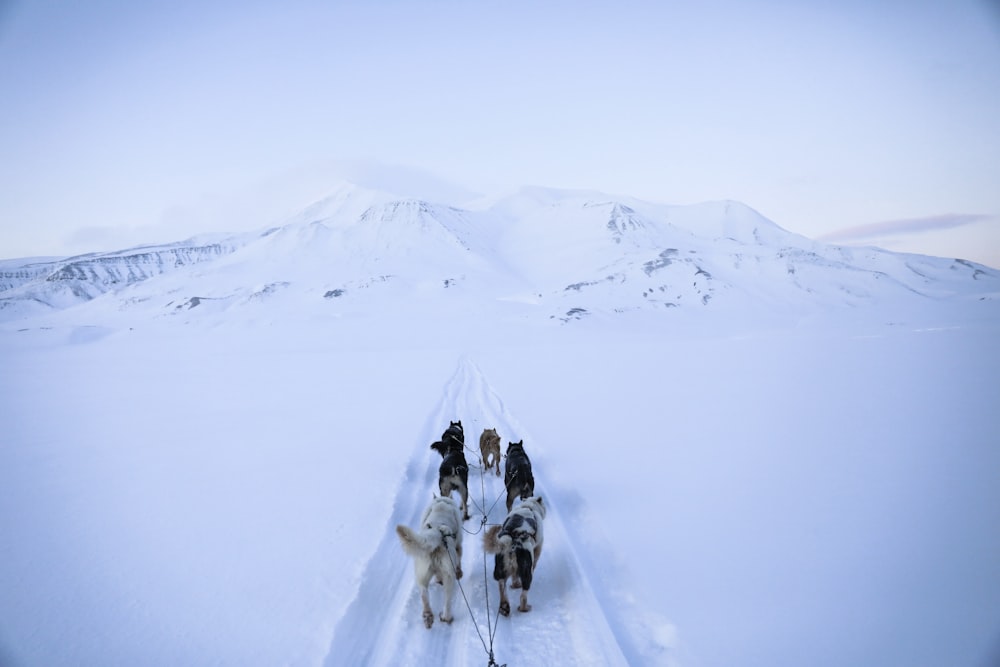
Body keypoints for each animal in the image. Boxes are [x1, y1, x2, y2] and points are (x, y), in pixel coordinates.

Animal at [394, 496, 464, 632]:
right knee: (447, 601)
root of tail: (437, 533)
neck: (442, 503)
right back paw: (446, 617)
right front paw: (459, 573)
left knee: (424, 596)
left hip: (421, 575)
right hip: (449, 577)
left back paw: (428, 616)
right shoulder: (458, 546)